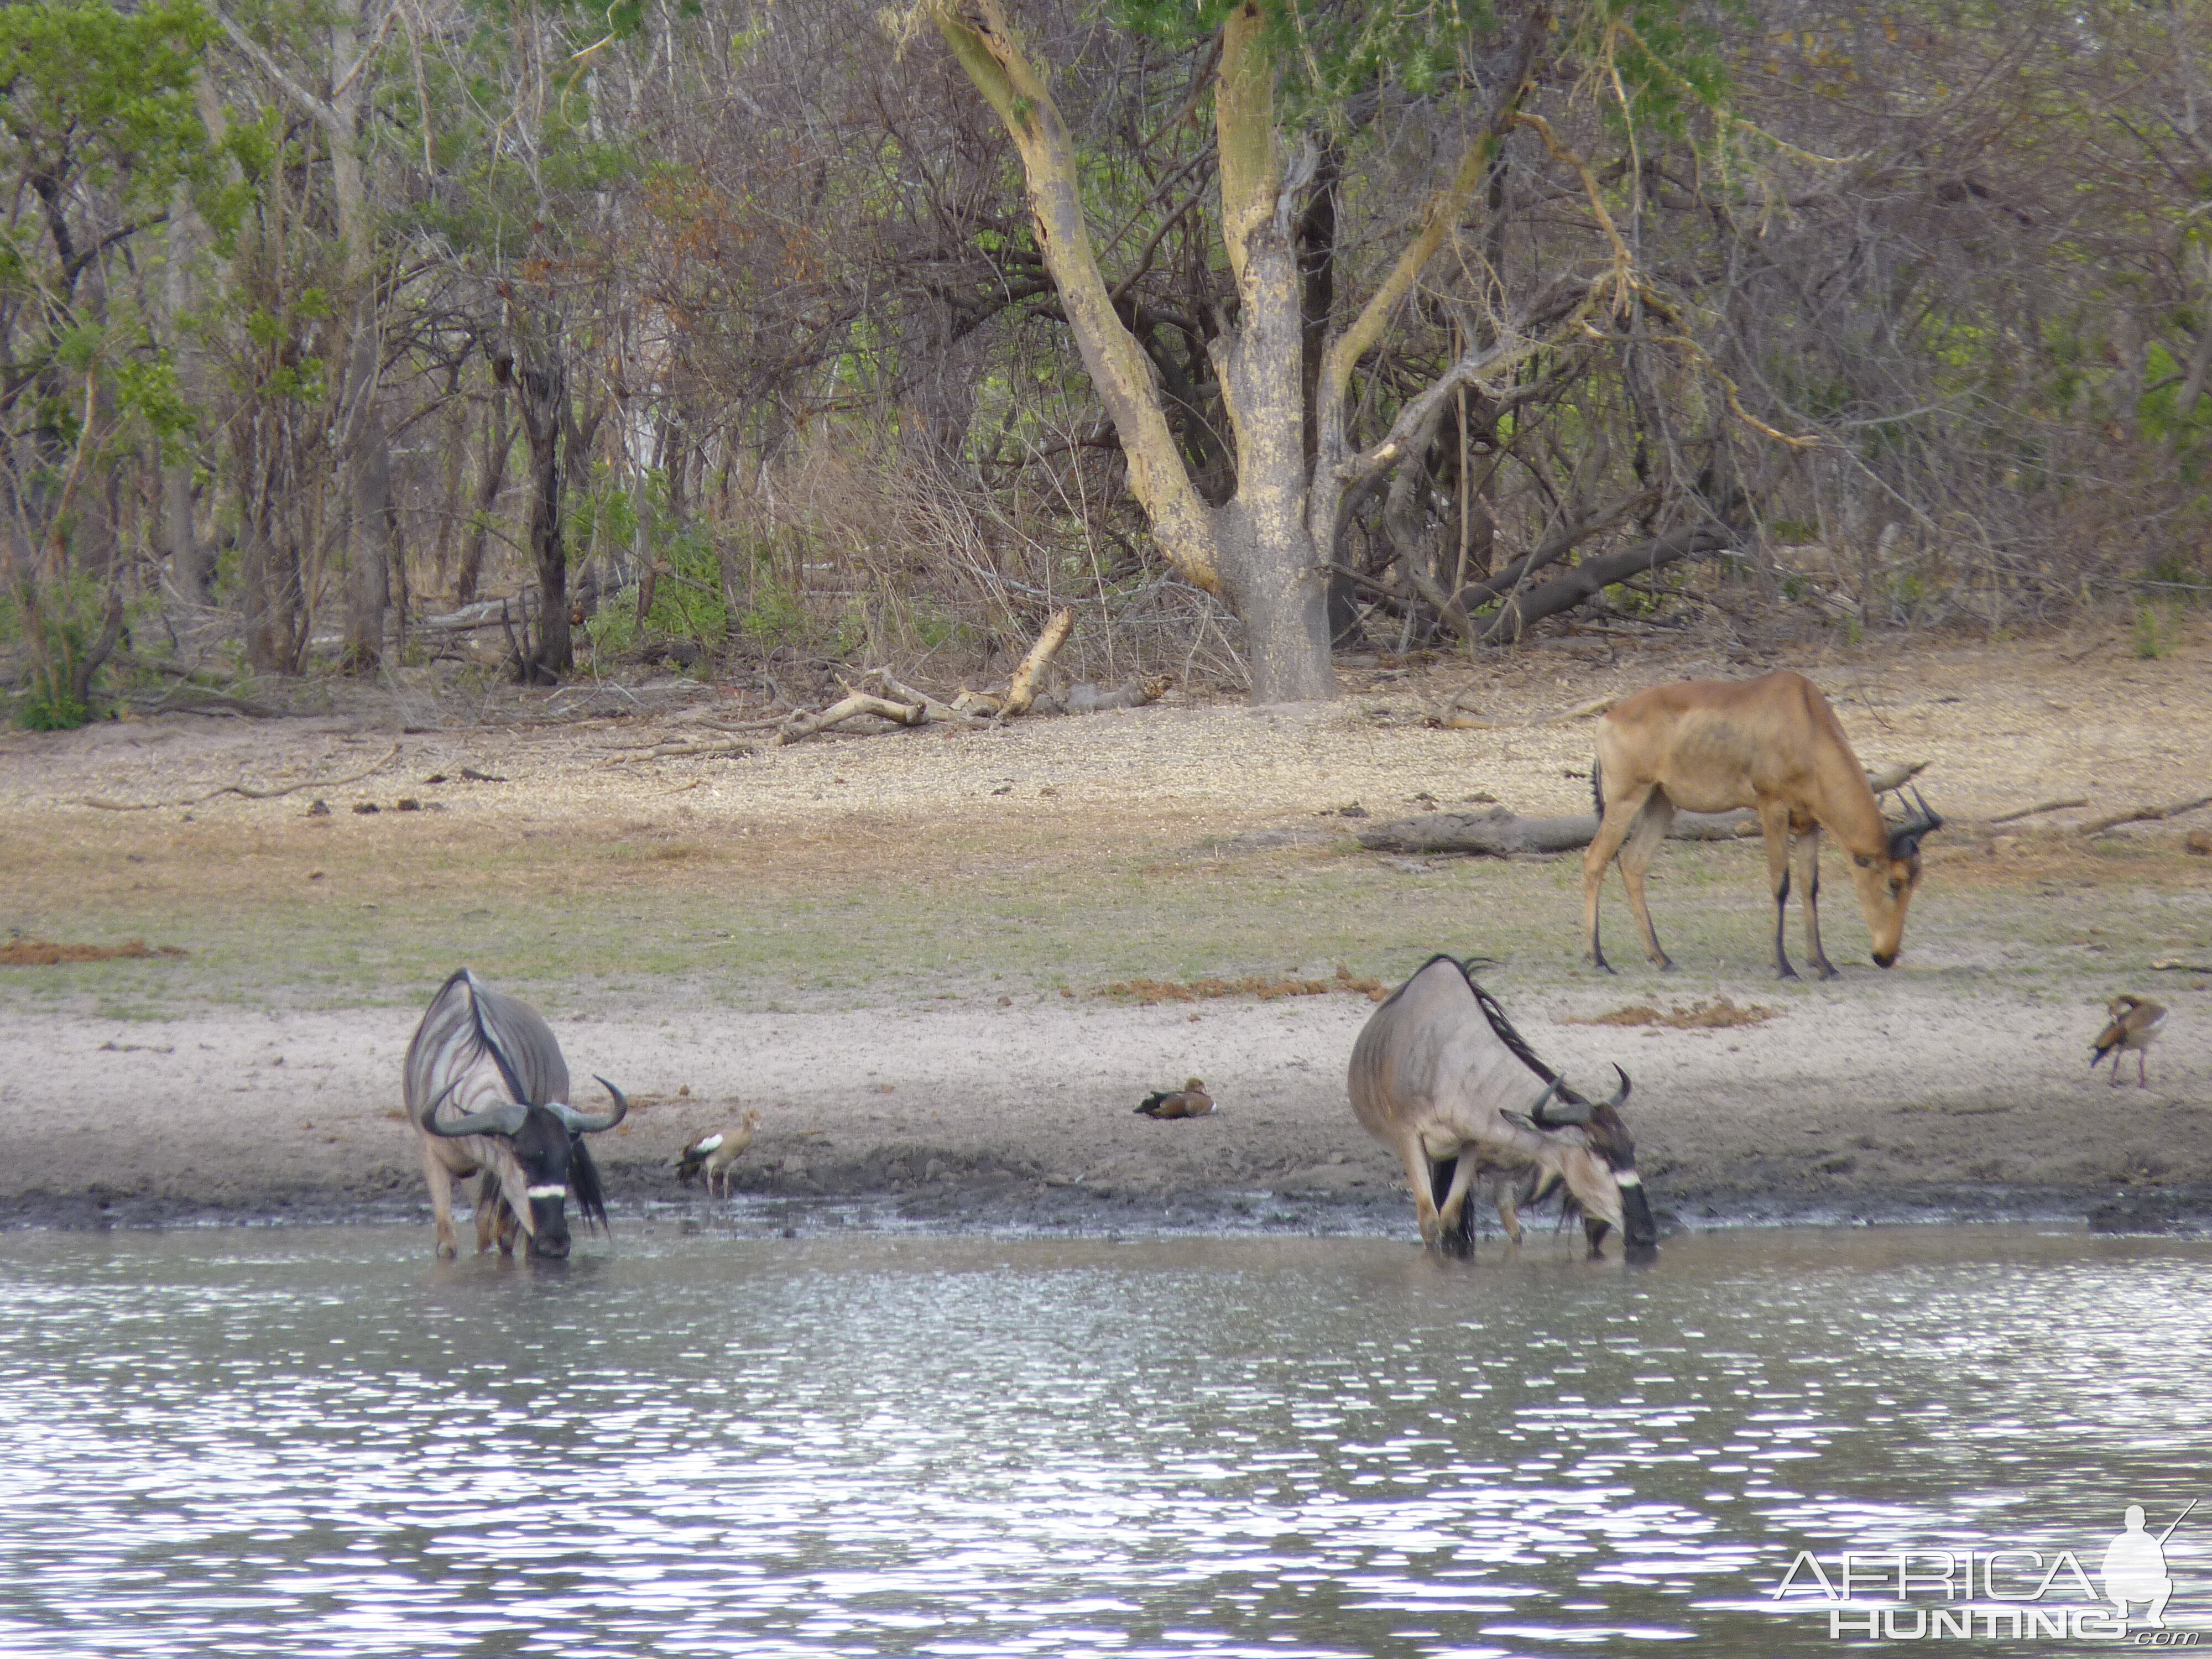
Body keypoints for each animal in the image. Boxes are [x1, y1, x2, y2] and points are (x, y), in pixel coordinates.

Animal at [403, 969, 633, 1265]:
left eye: (566, 1163)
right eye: (521, 1159)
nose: (556, 1243)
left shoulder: (496, 1173)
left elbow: (502, 1238)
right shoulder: (434, 1159)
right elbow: (448, 1246)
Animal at [1345, 960, 1663, 1256]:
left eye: (1631, 1146)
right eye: (1597, 1150)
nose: (1645, 1233)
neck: (1447, 1058)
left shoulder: (1469, 1143)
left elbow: (1450, 1220)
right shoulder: (1410, 1138)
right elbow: (1430, 1223)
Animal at [1593, 677, 1938, 982]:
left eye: (1917, 880)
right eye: (1894, 882)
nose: (1886, 957)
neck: (1802, 715)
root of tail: (1608, 718)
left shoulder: (1809, 823)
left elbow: (1810, 886)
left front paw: (1823, 965)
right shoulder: (1772, 807)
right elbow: (1780, 882)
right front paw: (1784, 967)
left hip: (1661, 803)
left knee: (1632, 862)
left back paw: (1661, 958)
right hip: (1626, 799)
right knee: (1595, 860)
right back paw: (1598, 960)